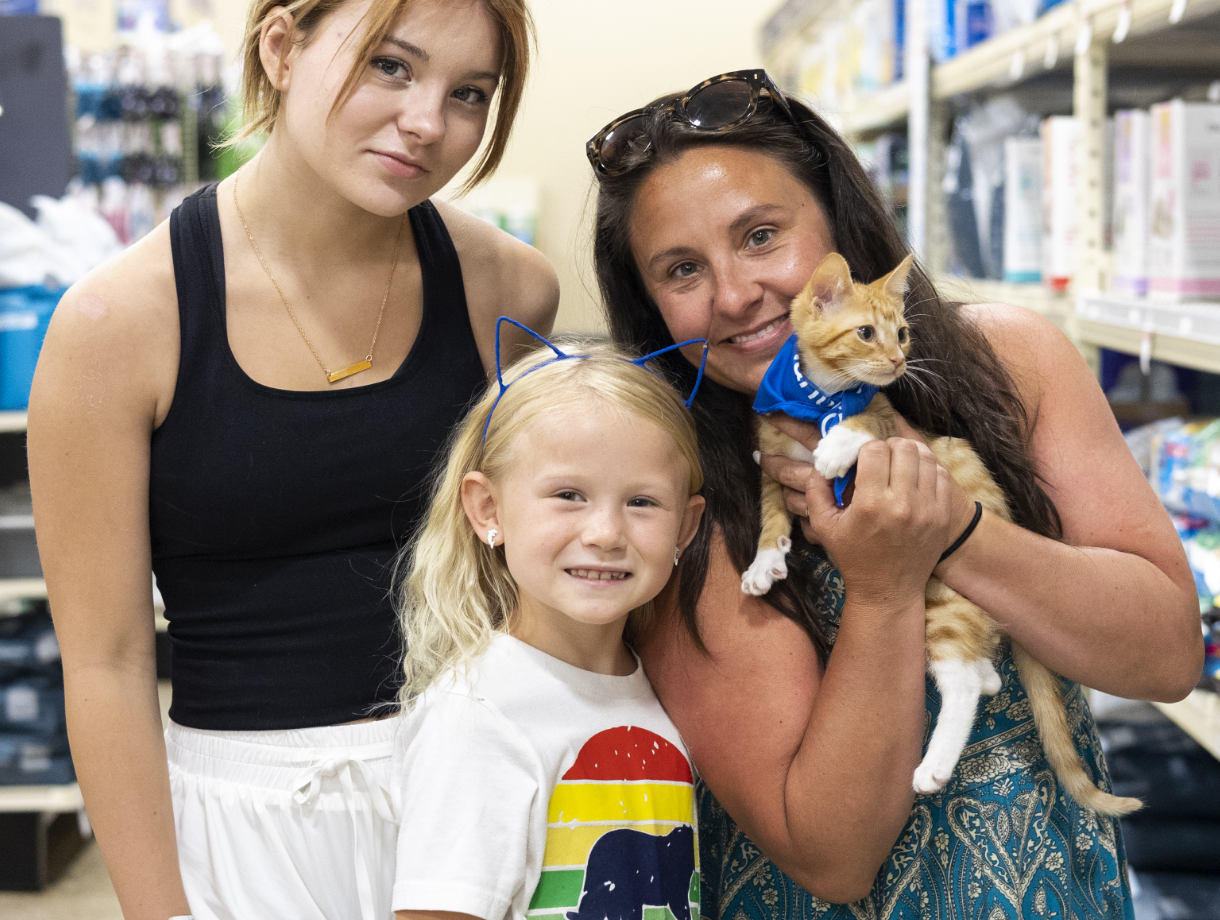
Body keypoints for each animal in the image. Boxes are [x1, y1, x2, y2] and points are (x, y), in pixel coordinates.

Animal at [741, 247, 1141, 815]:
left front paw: (836, 446)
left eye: (902, 333)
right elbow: (771, 513)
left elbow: (864, 425)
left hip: (945, 599)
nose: (898, 362)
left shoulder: (890, 424)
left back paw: (934, 765)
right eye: (866, 333)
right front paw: (763, 562)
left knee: (962, 682)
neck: (818, 398)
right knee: (978, 668)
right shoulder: (774, 462)